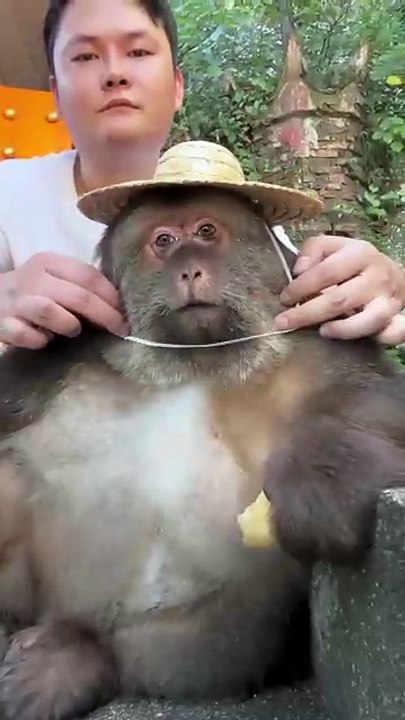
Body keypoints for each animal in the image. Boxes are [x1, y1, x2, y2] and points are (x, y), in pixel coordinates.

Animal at [0, 186, 404, 720]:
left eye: (206, 231)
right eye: (164, 241)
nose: (189, 270)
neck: (197, 363)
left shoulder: (316, 336)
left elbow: (370, 399)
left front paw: (320, 483)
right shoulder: (66, 348)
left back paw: (77, 658)